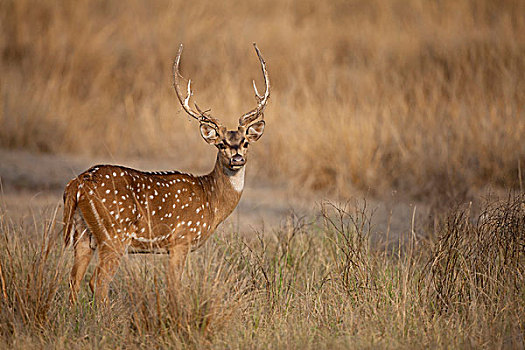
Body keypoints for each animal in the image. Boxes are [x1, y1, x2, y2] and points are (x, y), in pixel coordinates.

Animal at [64, 43, 270, 302]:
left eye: (245, 142)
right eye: (221, 144)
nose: (237, 158)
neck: (211, 201)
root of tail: (78, 184)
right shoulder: (181, 239)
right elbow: (174, 287)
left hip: (82, 233)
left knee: (74, 279)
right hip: (114, 233)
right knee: (97, 281)